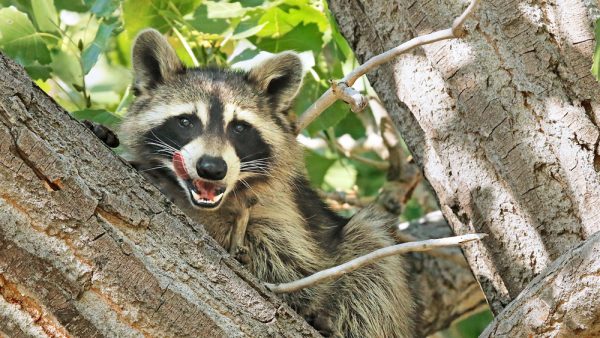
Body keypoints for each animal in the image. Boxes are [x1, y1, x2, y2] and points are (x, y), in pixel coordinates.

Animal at [112, 29, 414, 338]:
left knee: (371, 254)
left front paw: (197, 214)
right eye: (186, 122)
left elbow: (289, 262)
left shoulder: (283, 208)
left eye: (239, 128)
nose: (212, 168)